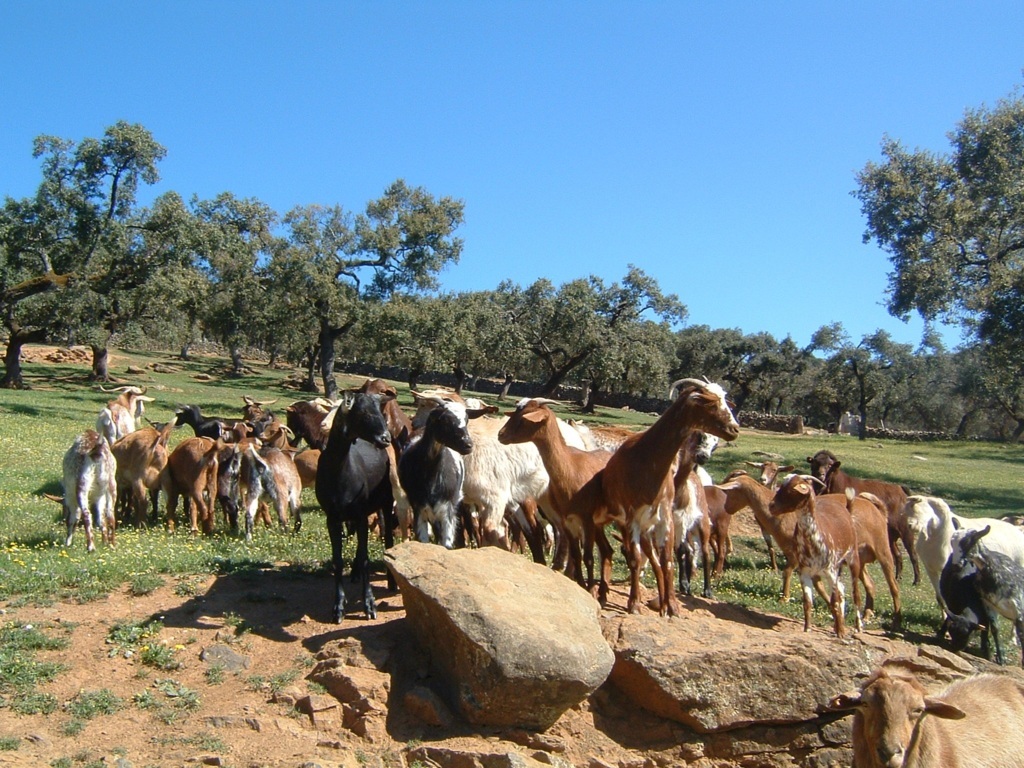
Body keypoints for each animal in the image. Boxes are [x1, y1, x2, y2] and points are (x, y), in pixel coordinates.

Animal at [313, 393, 393, 622]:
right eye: (363, 412)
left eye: (380, 411)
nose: (385, 438)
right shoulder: (332, 517)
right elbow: (337, 560)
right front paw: (338, 607)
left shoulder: (360, 514)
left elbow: (366, 557)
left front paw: (370, 605)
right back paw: (355, 573)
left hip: (385, 501)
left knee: (388, 538)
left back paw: (391, 582)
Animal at [598, 378, 741, 618]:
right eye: (710, 403)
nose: (735, 429)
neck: (647, 459)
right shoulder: (632, 519)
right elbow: (637, 559)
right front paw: (634, 603)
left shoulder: (666, 518)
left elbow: (669, 562)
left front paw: (673, 606)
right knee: (647, 558)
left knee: (672, 558)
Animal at [770, 479, 864, 638]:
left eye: (791, 490)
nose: (771, 506)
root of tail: (847, 511)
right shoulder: (805, 572)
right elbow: (808, 603)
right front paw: (807, 629)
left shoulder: (830, 572)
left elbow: (835, 601)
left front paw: (841, 633)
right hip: (827, 572)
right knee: (841, 589)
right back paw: (839, 625)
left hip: (853, 559)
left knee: (854, 594)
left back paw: (857, 627)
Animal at [806, 448, 921, 581]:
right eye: (815, 463)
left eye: (829, 465)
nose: (820, 475)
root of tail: (901, 490)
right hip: (889, 535)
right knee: (897, 554)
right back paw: (898, 577)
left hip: (906, 530)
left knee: (913, 554)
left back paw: (916, 580)